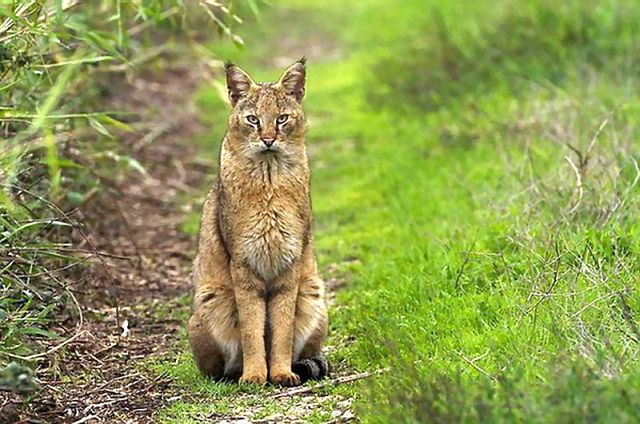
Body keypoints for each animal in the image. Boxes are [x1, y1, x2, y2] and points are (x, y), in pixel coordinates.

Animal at [189, 58, 330, 386]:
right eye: (252, 119)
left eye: (282, 119)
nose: (268, 139)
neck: (269, 177)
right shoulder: (243, 264)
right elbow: (252, 327)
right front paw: (255, 374)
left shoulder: (289, 264)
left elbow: (282, 329)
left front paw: (280, 372)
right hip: (211, 298)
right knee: (216, 367)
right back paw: (235, 372)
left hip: (314, 292)